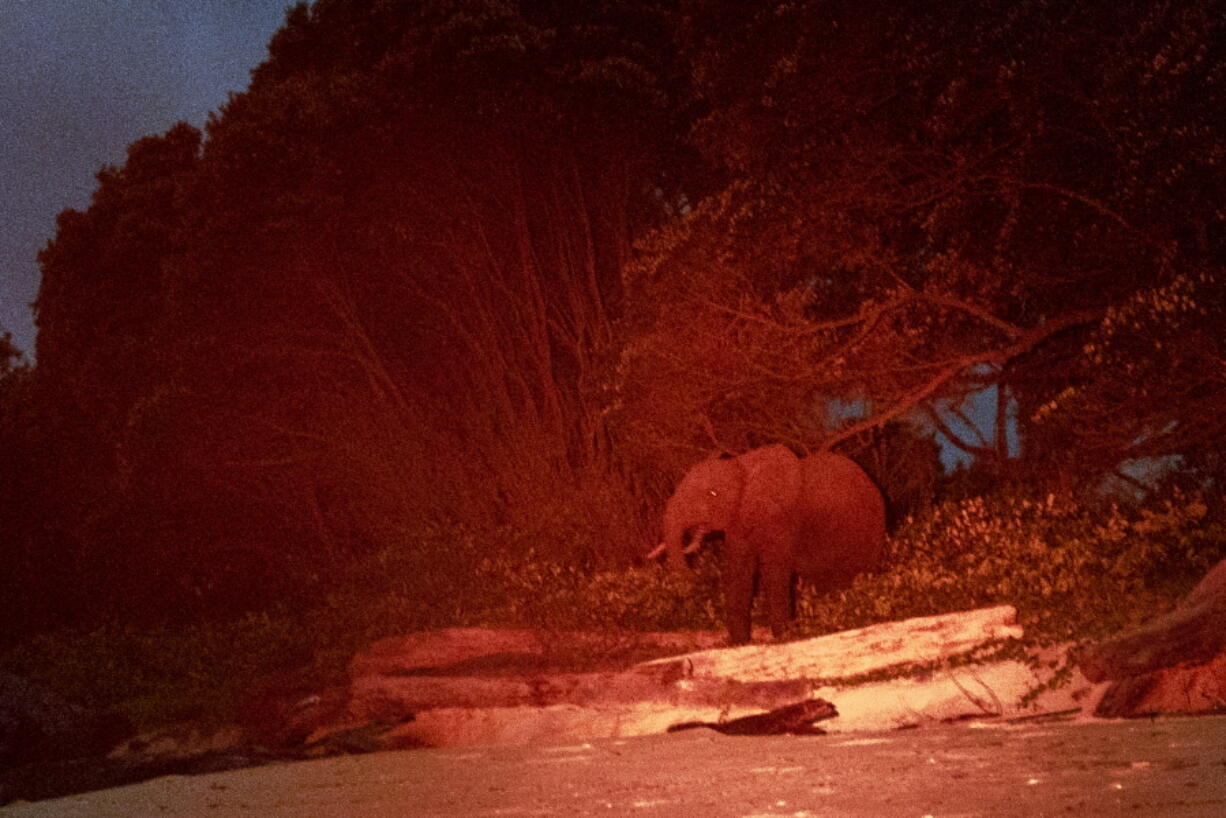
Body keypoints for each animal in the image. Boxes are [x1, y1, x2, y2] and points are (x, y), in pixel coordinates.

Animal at [657, 448, 887, 647]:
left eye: (712, 493)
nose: (696, 573)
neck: (745, 467)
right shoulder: (739, 523)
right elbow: (738, 571)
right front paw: (738, 643)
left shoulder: (781, 519)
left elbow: (774, 572)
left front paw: (784, 637)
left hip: (870, 530)